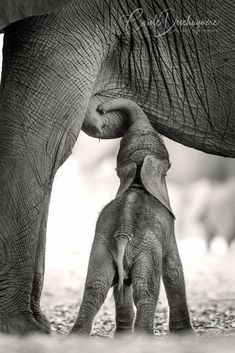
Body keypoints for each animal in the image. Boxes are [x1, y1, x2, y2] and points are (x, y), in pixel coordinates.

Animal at [71, 99, 193, 336]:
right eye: (169, 167)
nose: (101, 109)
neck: (137, 176)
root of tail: (123, 233)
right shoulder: (168, 228)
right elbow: (173, 269)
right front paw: (186, 334)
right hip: (146, 249)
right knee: (145, 290)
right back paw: (143, 338)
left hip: (103, 248)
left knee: (95, 287)